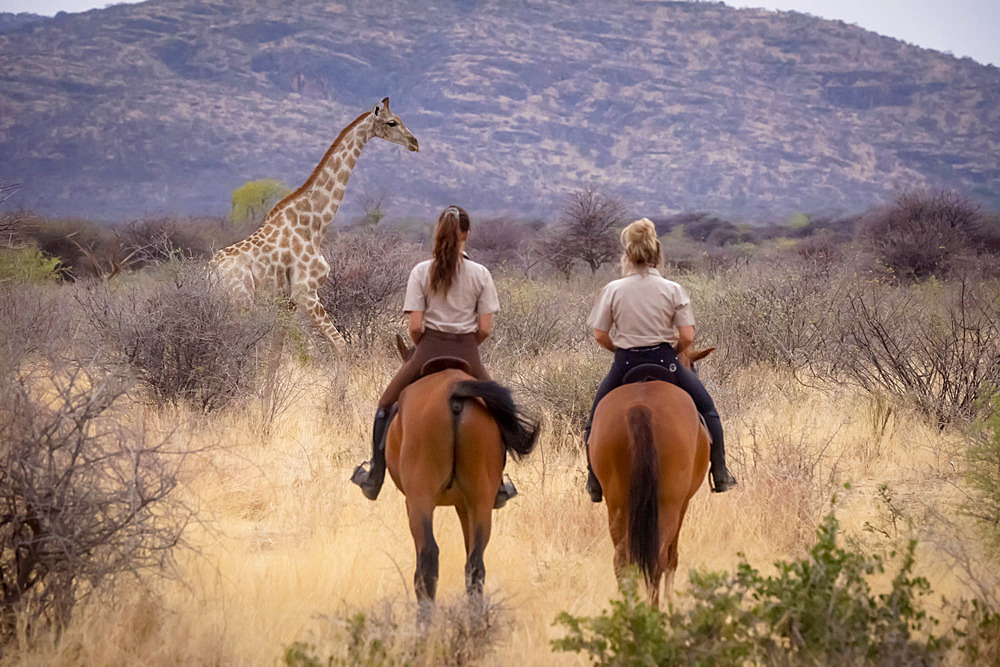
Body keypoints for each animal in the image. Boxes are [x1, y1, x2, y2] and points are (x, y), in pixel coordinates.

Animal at [213, 96, 420, 358]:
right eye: (392, 122)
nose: (414, 143)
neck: (314, 224)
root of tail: (209, 272)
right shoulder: (306, 292)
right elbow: (341, 347)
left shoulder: (288, 301)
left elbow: (275, 354)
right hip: (241, 303)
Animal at [384, 336, 540, 612]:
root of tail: (454, 393)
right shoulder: (463, 504)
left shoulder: (413, 502)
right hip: (480, 498)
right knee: (476, 563)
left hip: (421, 497)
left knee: (428, 558)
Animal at [588, 352, 716, 608]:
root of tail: (641, 407)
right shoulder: (683, 504)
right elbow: (673, 557)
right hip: (668, 503)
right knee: (658, 559)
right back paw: (655, 609)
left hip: (617, 503)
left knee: (622, 561)